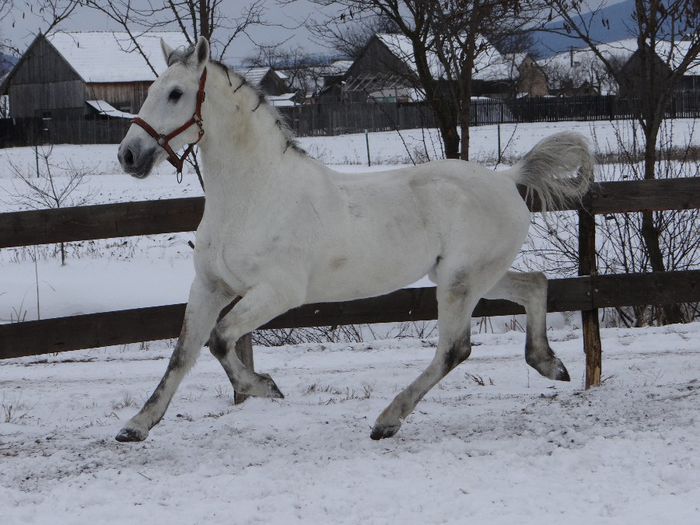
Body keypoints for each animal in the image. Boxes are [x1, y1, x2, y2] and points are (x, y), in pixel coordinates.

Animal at [115, 37, 592, 442]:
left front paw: (265, 387)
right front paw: (136, 426)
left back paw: (387, 420)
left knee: (454, 349)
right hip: (476, 276)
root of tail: (508, 180)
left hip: (461, 282)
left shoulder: (276, 293)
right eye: (151, 90)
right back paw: (550, 364)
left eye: (175, 94)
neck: (253, 195)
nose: (129, 155)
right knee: (535, 285)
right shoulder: (210, 286)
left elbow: (218, 339)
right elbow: (183, 352)